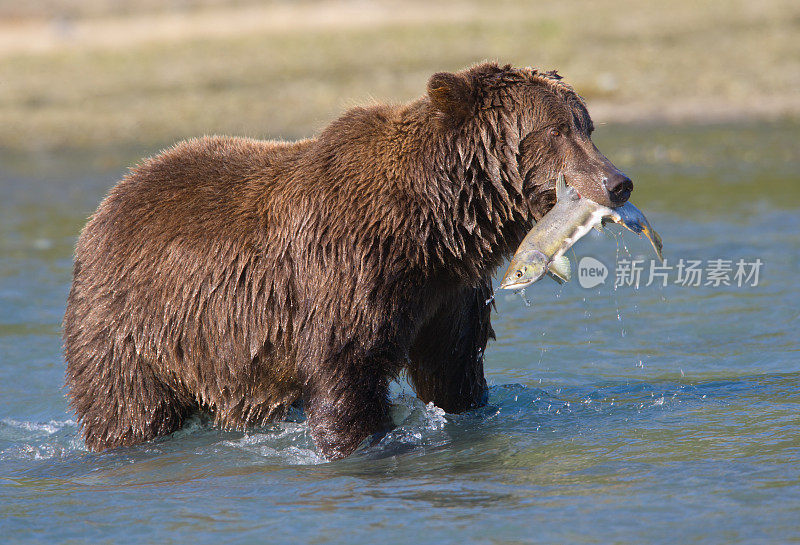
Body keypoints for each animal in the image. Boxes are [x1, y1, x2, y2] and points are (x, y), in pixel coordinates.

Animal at [64, 60, 632, 460]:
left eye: (587, 125)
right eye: (554, 130)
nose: (617, 182)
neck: (438, 222)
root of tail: (106, 205)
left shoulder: (446, 294)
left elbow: (453, 369)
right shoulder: (349, 270)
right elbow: (346, 371)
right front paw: (362, 443)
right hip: (135, 329)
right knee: (127, 408)